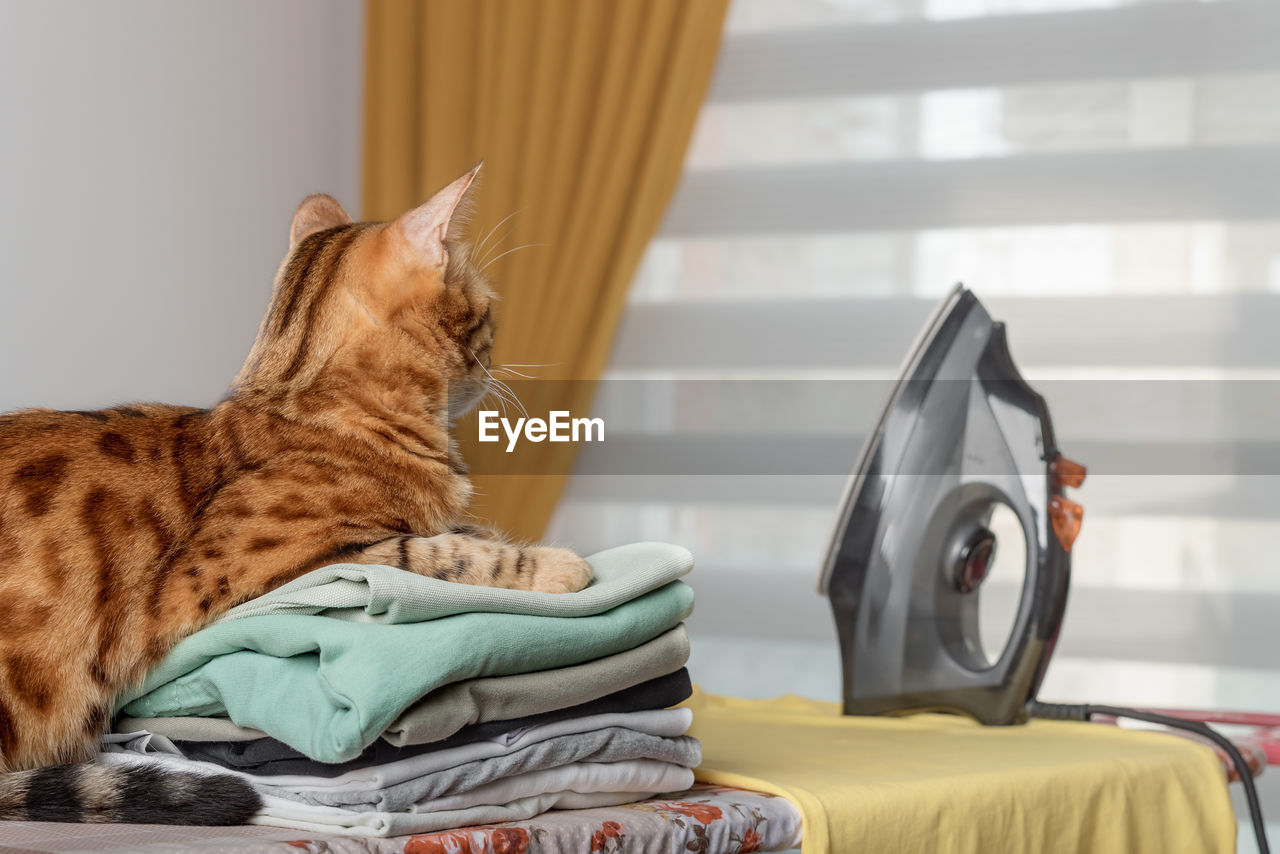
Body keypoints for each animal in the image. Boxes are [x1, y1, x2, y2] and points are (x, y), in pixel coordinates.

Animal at [0, 163, 593, 824]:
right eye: (488, 312)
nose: (495, 358)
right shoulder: (270, 571)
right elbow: (445, 553)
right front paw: (562, 565)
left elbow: (464, 533)